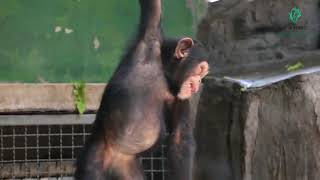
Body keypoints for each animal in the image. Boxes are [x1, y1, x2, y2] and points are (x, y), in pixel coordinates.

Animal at [75, 0, 210, 180]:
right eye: (200, 70)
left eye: (203, 74)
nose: (198, 82)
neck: (164, 74)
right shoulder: (149, 39)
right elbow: (154, 7)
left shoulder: (182, 98)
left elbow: (180, 139)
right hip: (95, 155)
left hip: (127, 168)